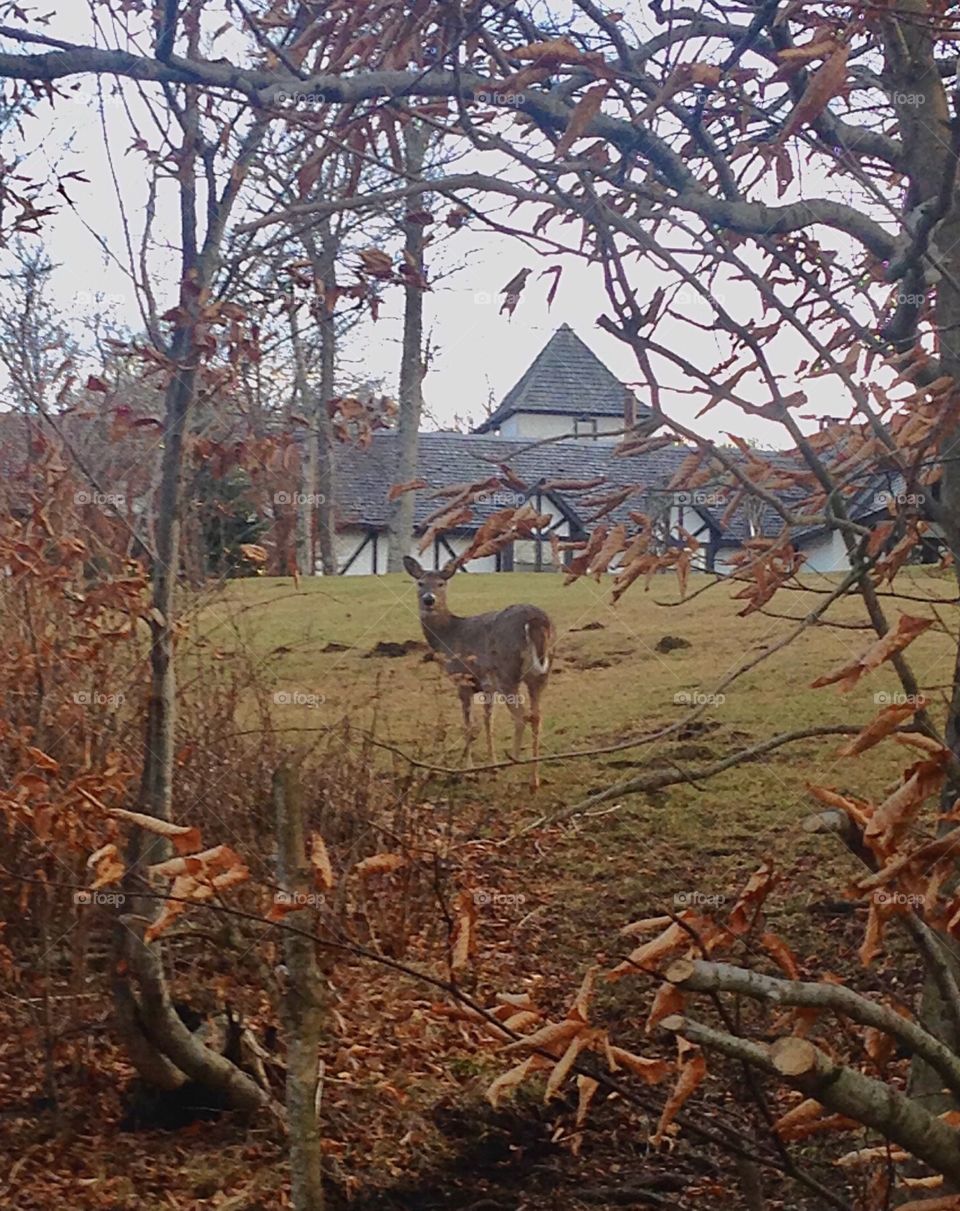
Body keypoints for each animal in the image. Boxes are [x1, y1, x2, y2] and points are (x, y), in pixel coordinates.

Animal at [402, 556, 556, 789]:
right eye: (420, 583)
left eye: (441, 583)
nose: (429, 600)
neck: (447, 636)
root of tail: (536, 620)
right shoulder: (487, 685)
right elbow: (487, 722)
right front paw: (491, 768)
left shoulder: (463, 679)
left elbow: (469, 726)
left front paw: (468, 771)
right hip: (539, 674)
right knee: (537, 716)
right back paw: (534, 779)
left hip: (507, 672)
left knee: (521, 717)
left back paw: (512, 771)